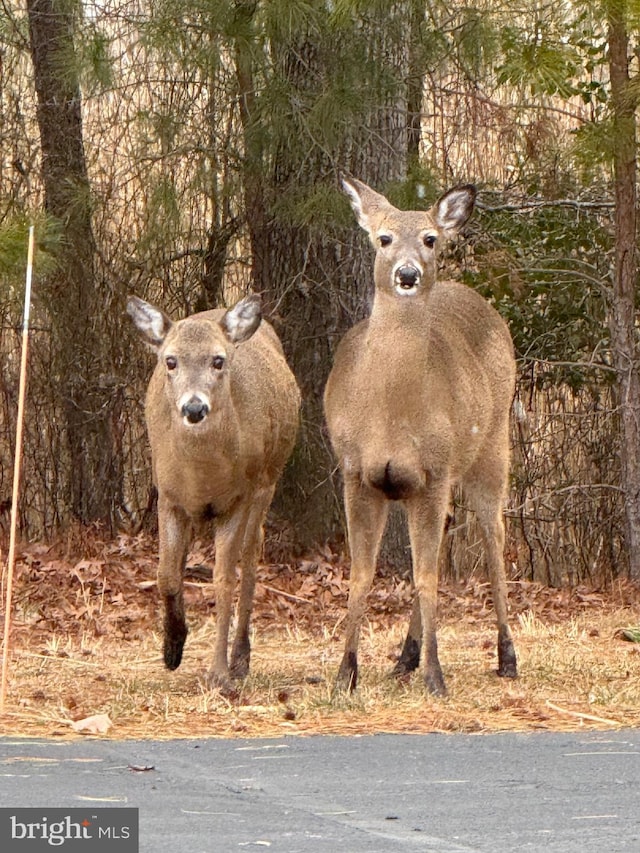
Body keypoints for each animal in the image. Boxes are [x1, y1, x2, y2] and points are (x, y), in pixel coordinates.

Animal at [129, 292, 302, 684]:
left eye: (218, 360)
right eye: (171, 361)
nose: (194, 407)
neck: (202, 475)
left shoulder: (236, 499)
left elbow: (224, 580)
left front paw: (219, 672)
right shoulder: (168, 497)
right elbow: (166, 575)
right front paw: (172, 647)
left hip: (267, 481)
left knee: (251, 561)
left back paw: (240, 658)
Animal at [324, 176, 520, 696]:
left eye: (431, 239)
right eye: (384, 238)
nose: (408, 274)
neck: (392, 410)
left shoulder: (432, 470)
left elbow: (427, 577)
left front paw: (436, 675)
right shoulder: (356, 471)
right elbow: (361, 574)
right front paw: (345, 672)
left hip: (491, 444)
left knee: (493, 537)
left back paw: (507, 656)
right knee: (453, 529)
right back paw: (405, 657)